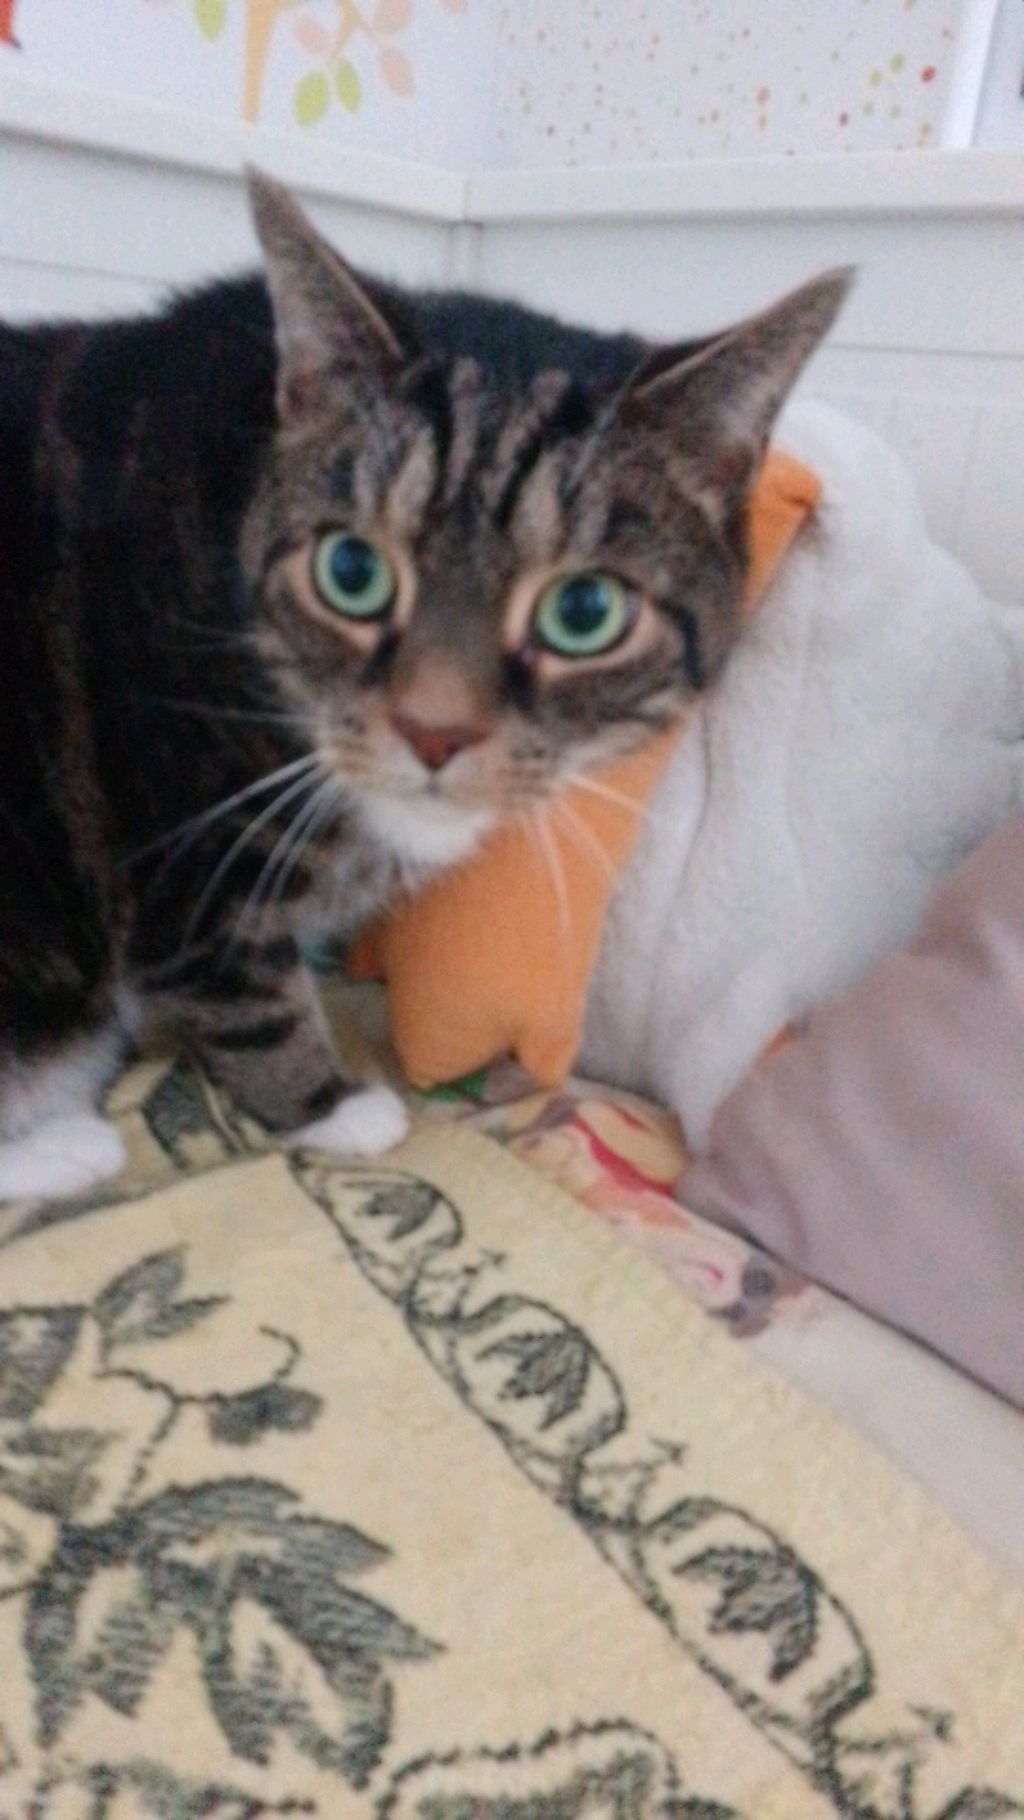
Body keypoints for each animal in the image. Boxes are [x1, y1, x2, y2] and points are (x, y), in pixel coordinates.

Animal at [0, 170, 849, 1202]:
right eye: (351, 572)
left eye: (583, 611)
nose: (434, 729)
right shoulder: (186, 826)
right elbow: (237, 975)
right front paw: (334, 1106)